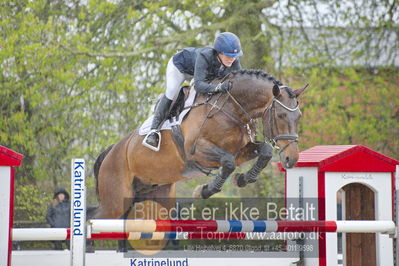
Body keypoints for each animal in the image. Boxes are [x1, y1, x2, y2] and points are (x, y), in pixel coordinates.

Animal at [93, 69, 306, 220]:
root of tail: (111, 152)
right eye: (281, 115)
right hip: (115, 201)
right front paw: (205, 191)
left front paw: (242, 179)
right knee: (95, 219)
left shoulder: (239, 151)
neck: (231, 108)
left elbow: (265, 151)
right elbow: (228, 163)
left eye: (299, 117)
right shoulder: (197, 152)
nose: (291, 159)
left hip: (156, 194)